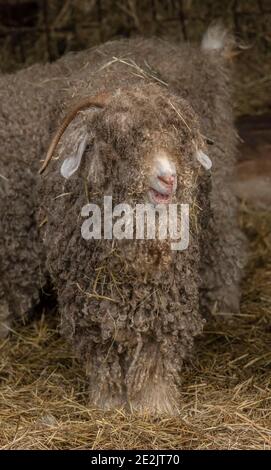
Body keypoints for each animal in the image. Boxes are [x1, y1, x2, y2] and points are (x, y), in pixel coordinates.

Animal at [0, 26, 246, 414]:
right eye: (121, 142)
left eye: (179, 140)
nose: (169, 178)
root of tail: (206, 56)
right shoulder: (89, 297)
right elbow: (104, 351)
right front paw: (110, 403)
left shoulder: (166, 297)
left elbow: (156, 350)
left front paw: (154, 406)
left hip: (218, 197)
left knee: (227, 247)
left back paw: (224, 307)